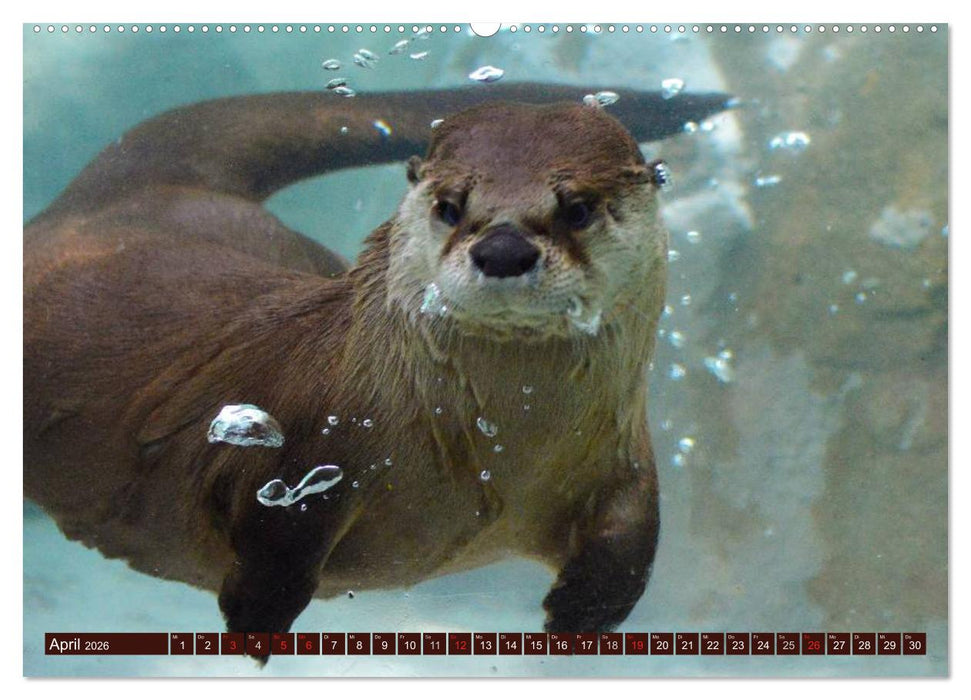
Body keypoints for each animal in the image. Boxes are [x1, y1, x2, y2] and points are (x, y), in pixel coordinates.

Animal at [23, 84, 729, 658]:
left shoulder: (621, 453)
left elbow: (633, 535)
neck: (500, 450)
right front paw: (258, 615)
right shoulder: (306, 440)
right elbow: (278, 532)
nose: (503, 248)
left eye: (577, 207)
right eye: (450, 205)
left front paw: (581, 613)